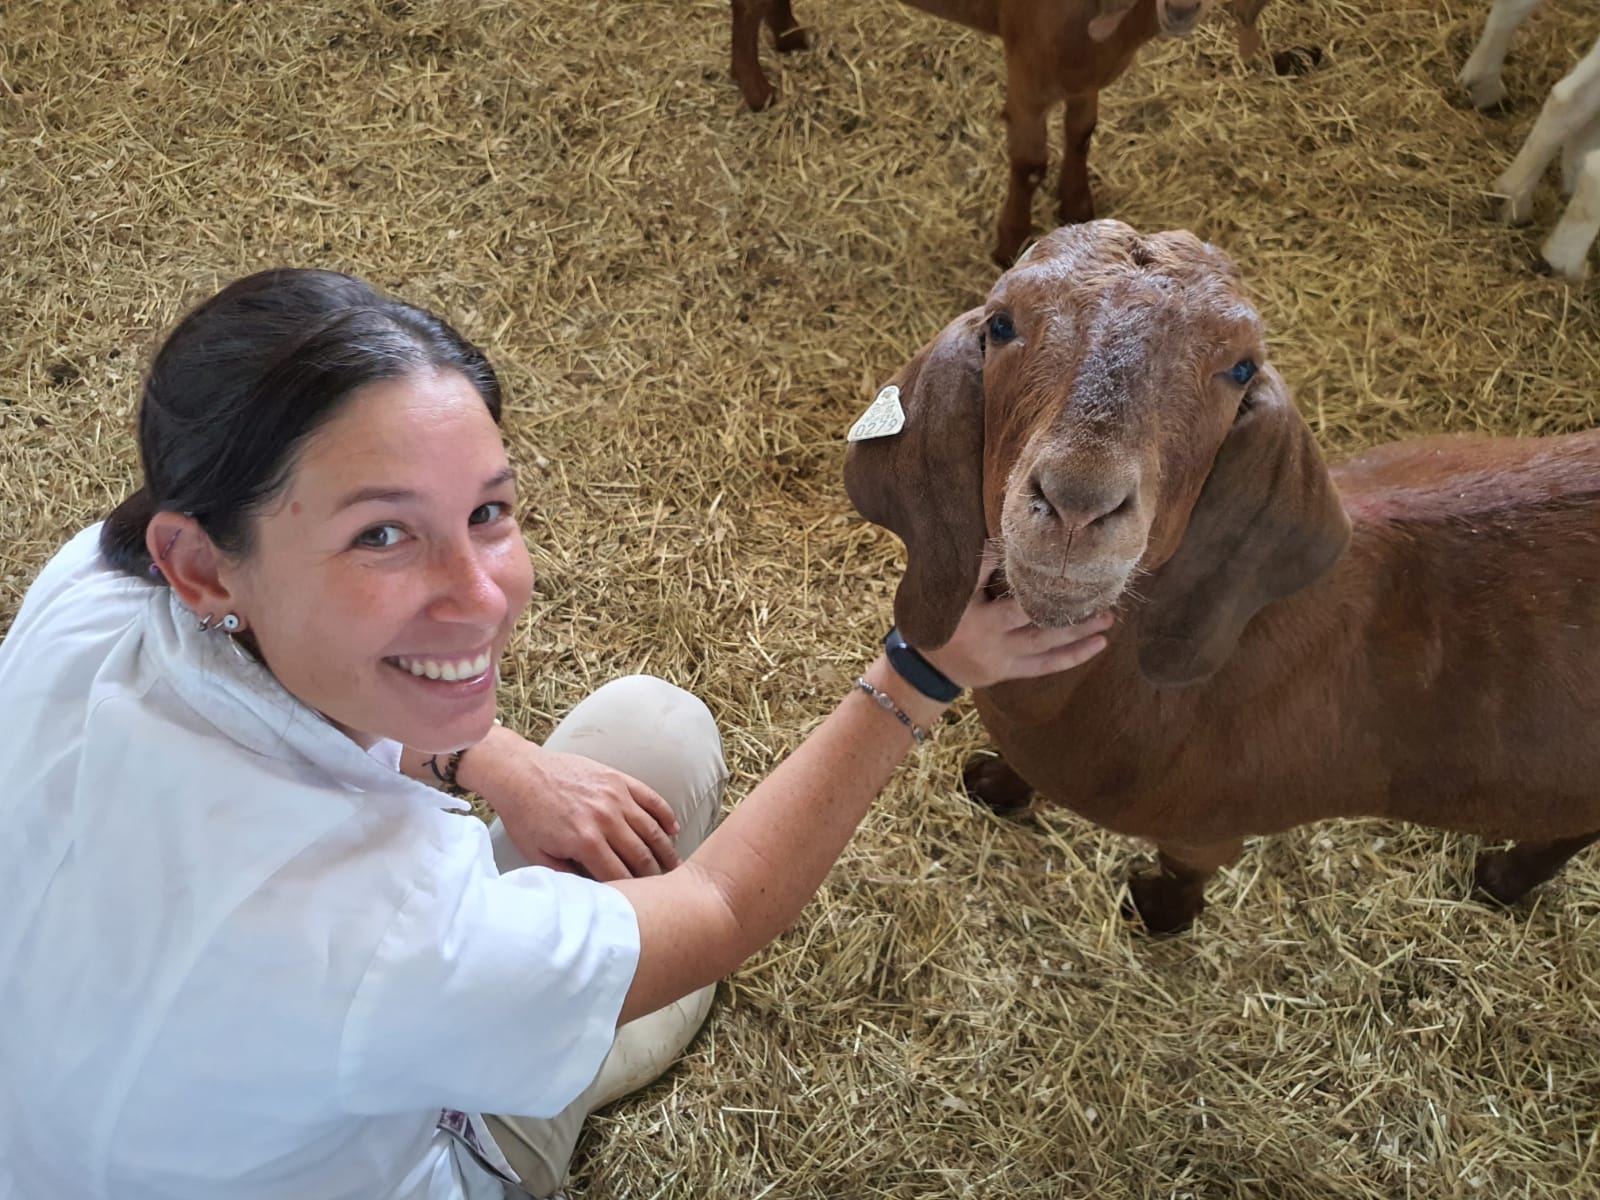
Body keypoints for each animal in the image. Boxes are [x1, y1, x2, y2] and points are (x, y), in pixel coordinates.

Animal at [730, 0, 1272, 265]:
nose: (1182, 7)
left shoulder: (1086, 73)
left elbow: (1082, 132)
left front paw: (1077, 206)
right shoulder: (1029, 69)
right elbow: (1030, 162)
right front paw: (1010, 242)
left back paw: (788, 35)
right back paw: (755, 86)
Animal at [844, 220, 1600, 934]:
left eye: (1239, 368)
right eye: (1001, 323)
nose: (1077, 505)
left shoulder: (1208, 829)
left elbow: (1188, 869)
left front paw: (1160, 912)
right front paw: (995, 783)